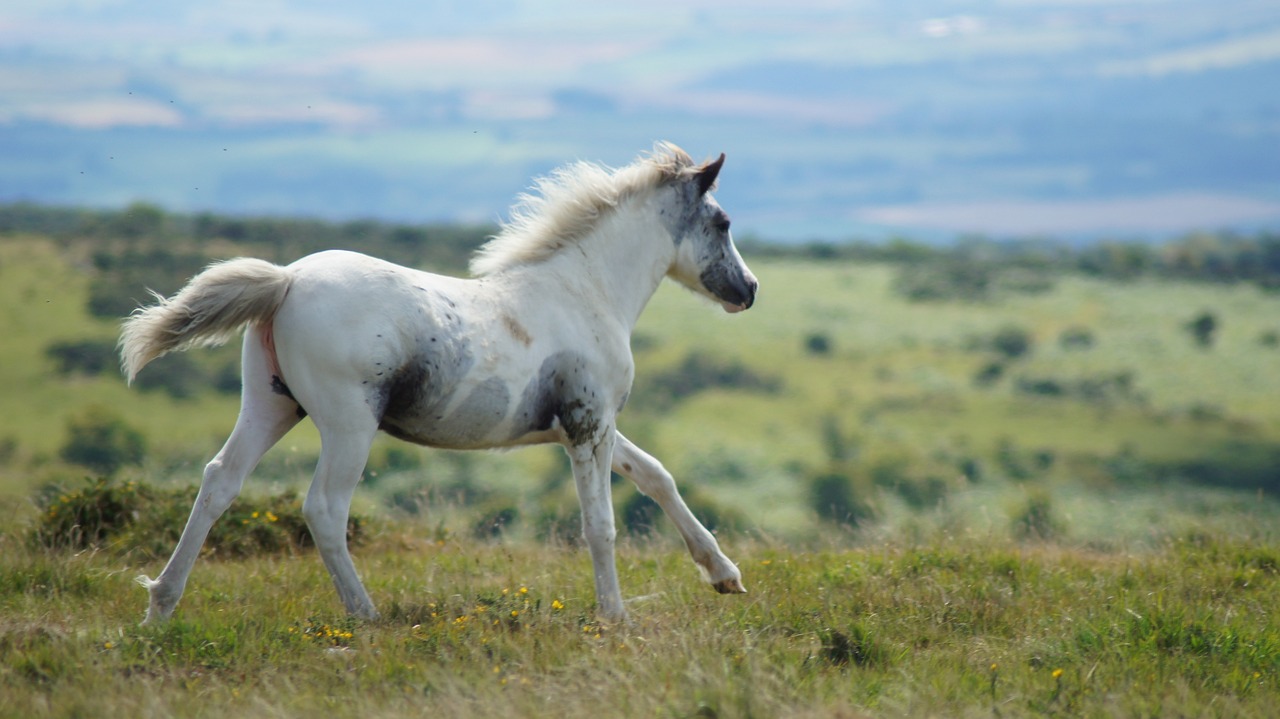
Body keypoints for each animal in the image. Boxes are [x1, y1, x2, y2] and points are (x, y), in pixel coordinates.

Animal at [120, 141, 757, 621]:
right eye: (722, 222)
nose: (748, 290)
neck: (586, 292)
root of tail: (286, 281)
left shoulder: (588, 426)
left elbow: (656, 475)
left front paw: (725, 575)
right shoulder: (587, 425)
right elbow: (600, 524)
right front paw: (615, 617)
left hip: (270, 405)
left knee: (219, 481)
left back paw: (160, 606)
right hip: (349, 424)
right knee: (324, 508)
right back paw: (365, 615)